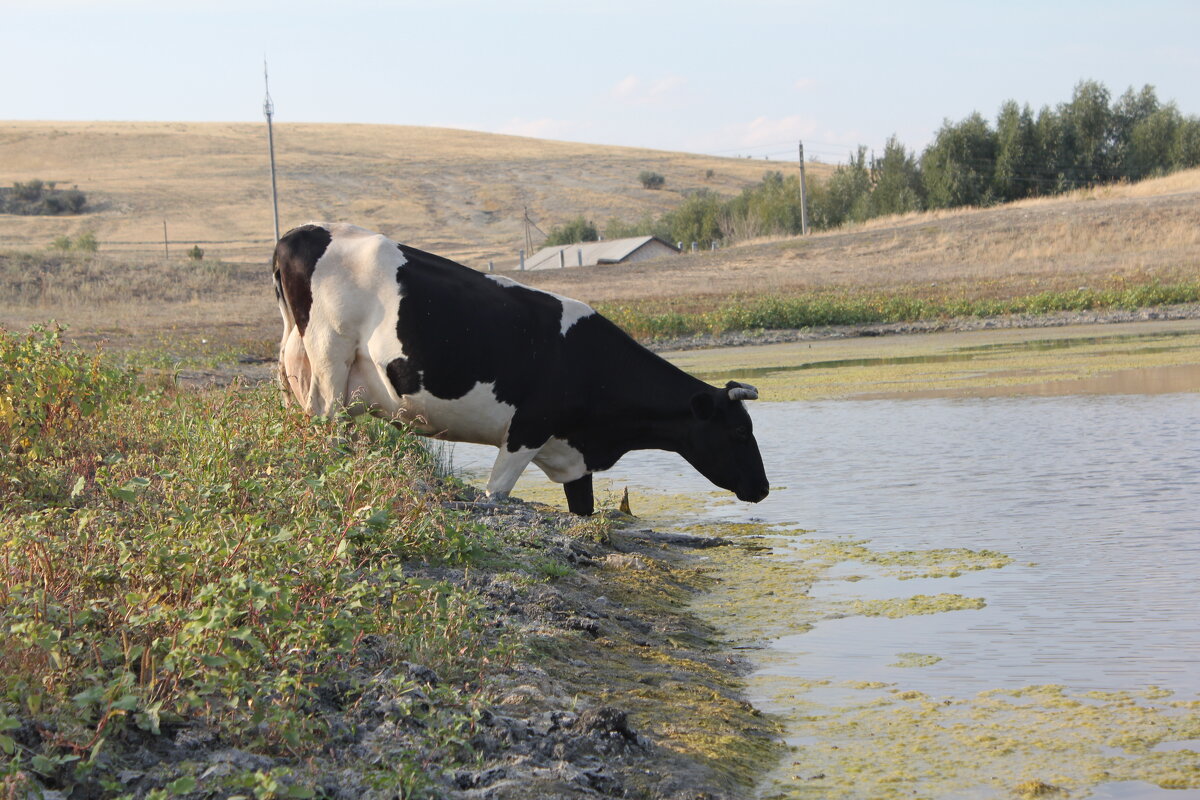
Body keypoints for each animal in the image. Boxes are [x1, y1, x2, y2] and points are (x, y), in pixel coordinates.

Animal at [272, 221, 768, 515]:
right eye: (739, 432)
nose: (763, 488)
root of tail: (304, 231)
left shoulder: (574, 458)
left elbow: (582, 510)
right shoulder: (526, 430)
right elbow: (496, 493)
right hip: (329, 361)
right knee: (327, 425)